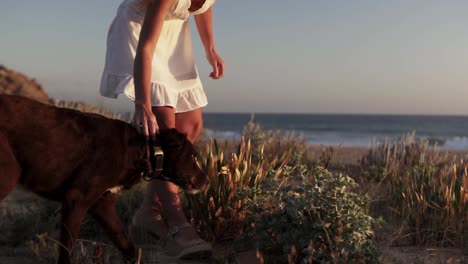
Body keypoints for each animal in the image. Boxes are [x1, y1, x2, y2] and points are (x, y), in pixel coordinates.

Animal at [0, 95, 208, 264]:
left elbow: (125, 242)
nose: (206, 181)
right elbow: (67, 249)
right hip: (8, 174)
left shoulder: (102, 203)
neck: (140, 150)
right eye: (193, 157)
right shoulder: (76, 199)